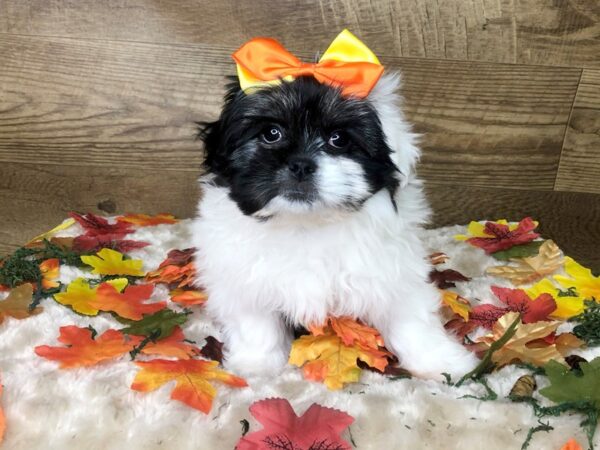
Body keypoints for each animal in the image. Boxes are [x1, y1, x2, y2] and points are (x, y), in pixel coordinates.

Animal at [192, 55, 478, 380]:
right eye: (271, 133)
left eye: (338, 139)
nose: (301, 164)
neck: (306, 225)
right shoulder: (242, 280)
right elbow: (256, 325)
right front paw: (257, 364)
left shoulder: (392, 272)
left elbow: (411, 320)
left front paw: (442, 363)